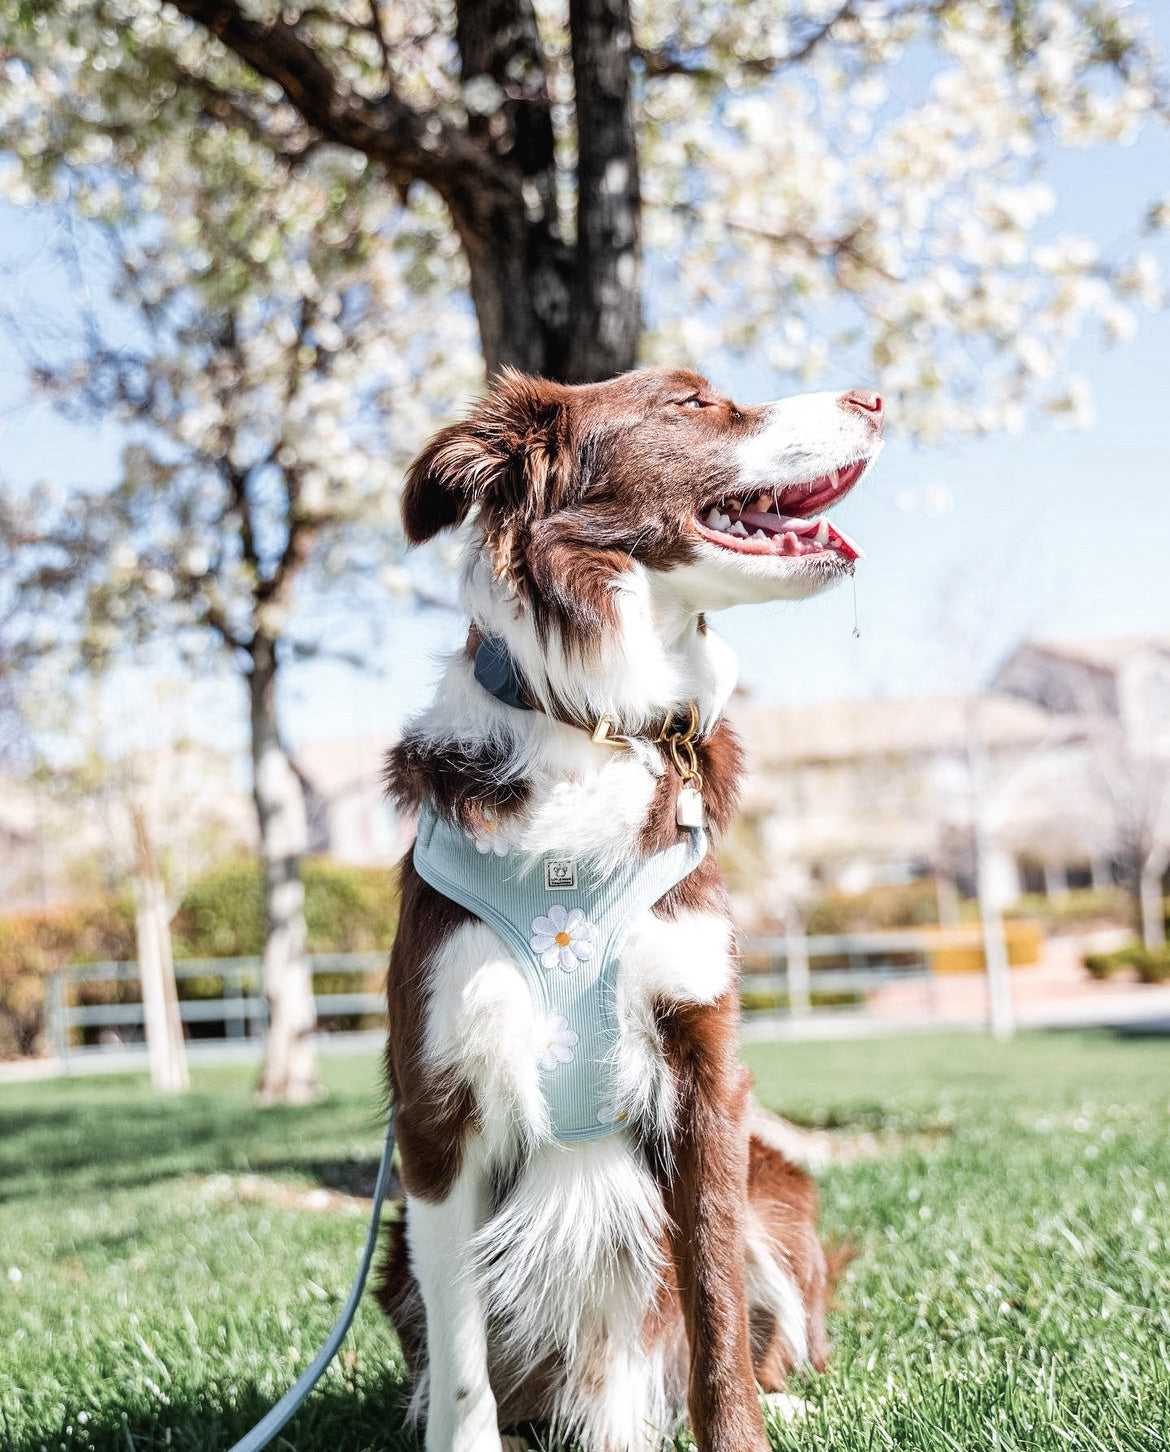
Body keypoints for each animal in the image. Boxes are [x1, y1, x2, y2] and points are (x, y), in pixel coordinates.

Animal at [380, 365, 882, 1452]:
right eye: (692, 403)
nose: (872, 397)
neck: (595, 725)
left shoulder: (704, 1075)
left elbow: (715, 1307)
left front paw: (740, 1431)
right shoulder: (438, 1105)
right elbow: (460, 1356)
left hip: (778, 1190)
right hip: (394, 1253)